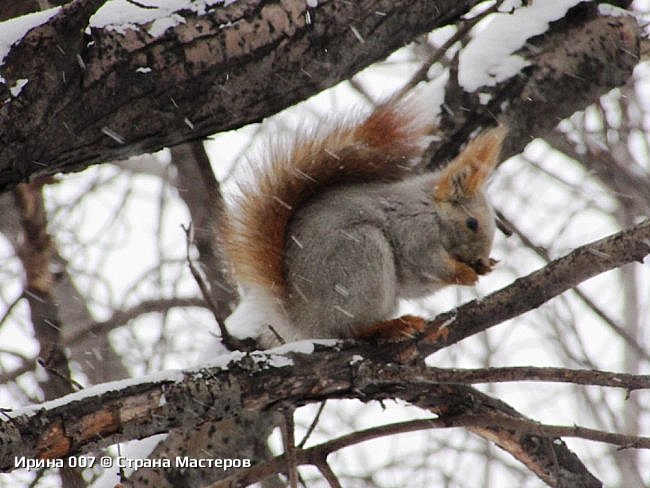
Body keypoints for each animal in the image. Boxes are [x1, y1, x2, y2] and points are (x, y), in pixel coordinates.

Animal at [220, 96, 504, 346]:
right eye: (472, 223)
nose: (480, 260)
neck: (431, 210)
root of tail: (304, 319)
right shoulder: (413, 230)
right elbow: (427, 264)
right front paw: (464, 273)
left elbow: (417, 287)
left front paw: (487, 266)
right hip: (361, 258)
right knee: (352, 329)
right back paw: (391, 326)